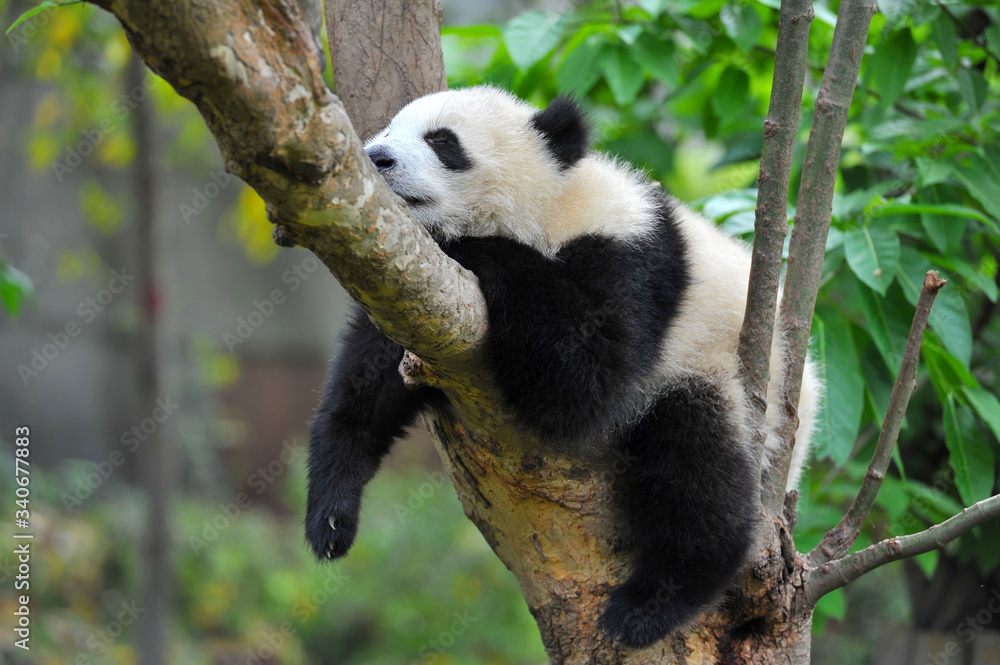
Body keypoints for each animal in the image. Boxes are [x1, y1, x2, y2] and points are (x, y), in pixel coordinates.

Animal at [305, 85, 820, 648]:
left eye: (443, 141)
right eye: (388, 129)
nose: (377, 157)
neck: (545, 205)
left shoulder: (630, 257)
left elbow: (585, 381)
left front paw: (476, 248)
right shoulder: (410, 288)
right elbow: (369, 378)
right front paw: (331, 515)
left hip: (729, 375)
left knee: (697, 459)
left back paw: (652, 604)